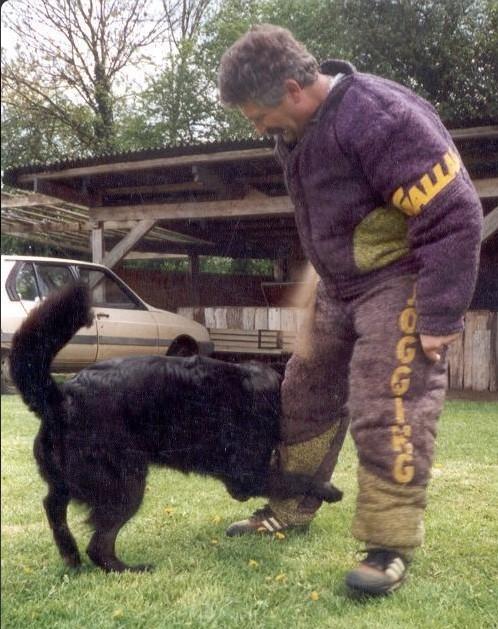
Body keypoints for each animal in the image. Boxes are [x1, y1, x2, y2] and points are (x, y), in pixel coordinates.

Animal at [9, 288, 342, 572]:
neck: (273, 388)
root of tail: (60, 397)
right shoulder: (246, 475)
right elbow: (296, 478)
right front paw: (329, 489)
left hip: (73, 479)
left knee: (53, 505)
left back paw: (70, 554)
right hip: (126, 485)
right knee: (98, 545)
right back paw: (129, 569)